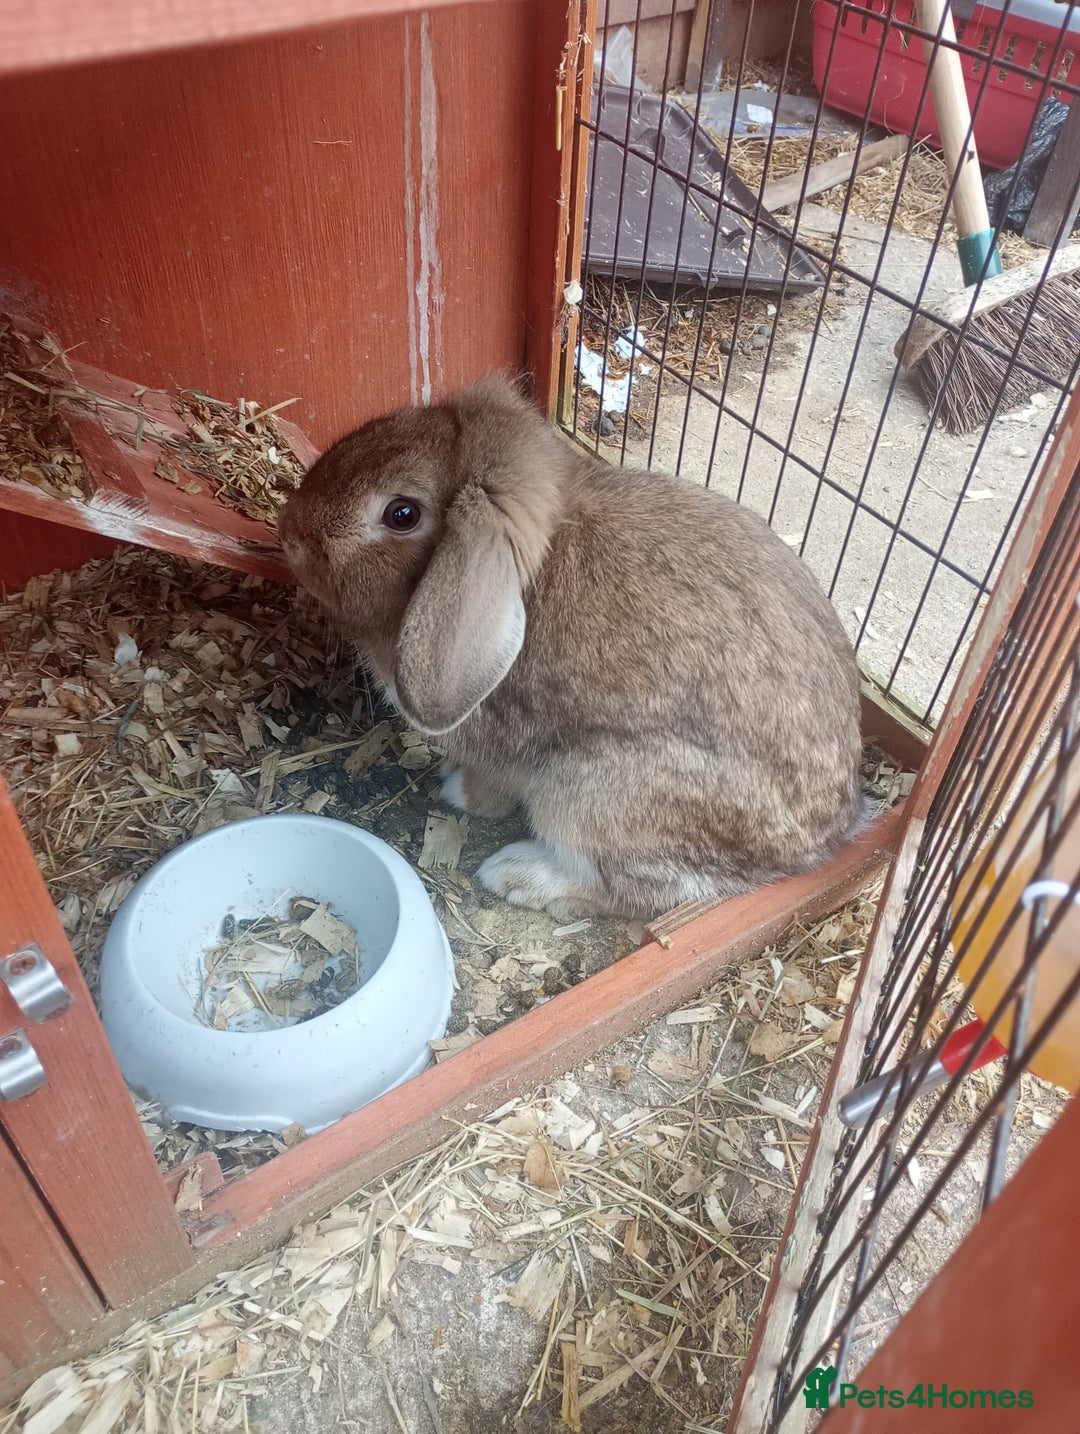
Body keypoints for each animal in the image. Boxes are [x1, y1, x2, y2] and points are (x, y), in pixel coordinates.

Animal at [278, 376, 868, 922]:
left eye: (401, 514)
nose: (290, 535)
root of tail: (817, 848)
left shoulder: (499, 740)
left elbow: (493, 785)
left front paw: (459, 792)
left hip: (589, 793)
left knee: (637, 892)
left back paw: (519, 875)